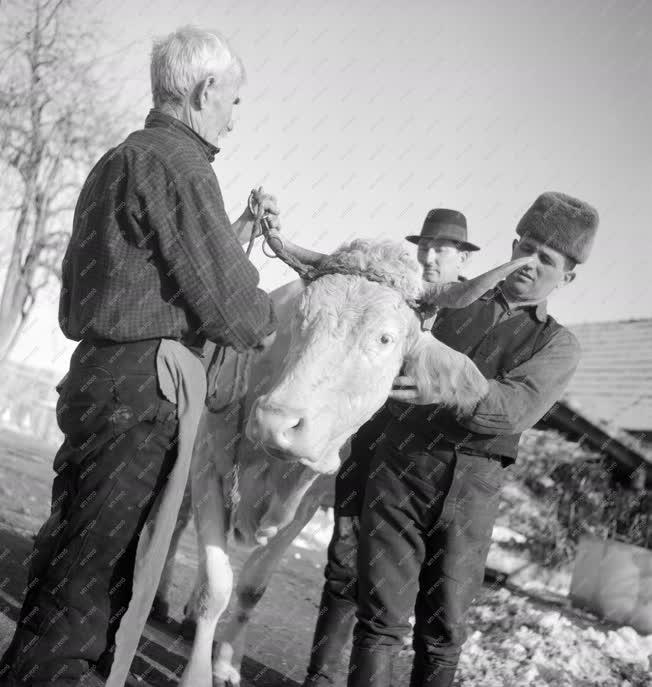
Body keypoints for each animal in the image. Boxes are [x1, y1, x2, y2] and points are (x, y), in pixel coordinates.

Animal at [158, 238, 528, 687]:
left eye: (385, 338)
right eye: (300, 318)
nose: (275, 421)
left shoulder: (306, 505)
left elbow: (250, 588)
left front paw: (227, 662)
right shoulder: (208, 466)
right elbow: (216, 585)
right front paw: (198, 671)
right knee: (178, 525)